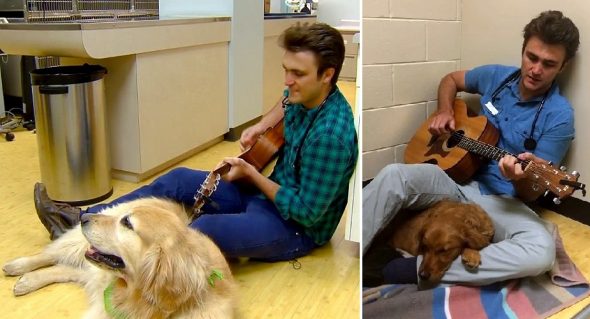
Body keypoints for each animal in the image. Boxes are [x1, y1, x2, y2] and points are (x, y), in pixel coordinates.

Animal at [2, 199, 238, 318]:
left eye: (127, 224)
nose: (84, 217)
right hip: (80, 245)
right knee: (51, 254)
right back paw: (18, 266)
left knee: (66, 269)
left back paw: (27, 281)